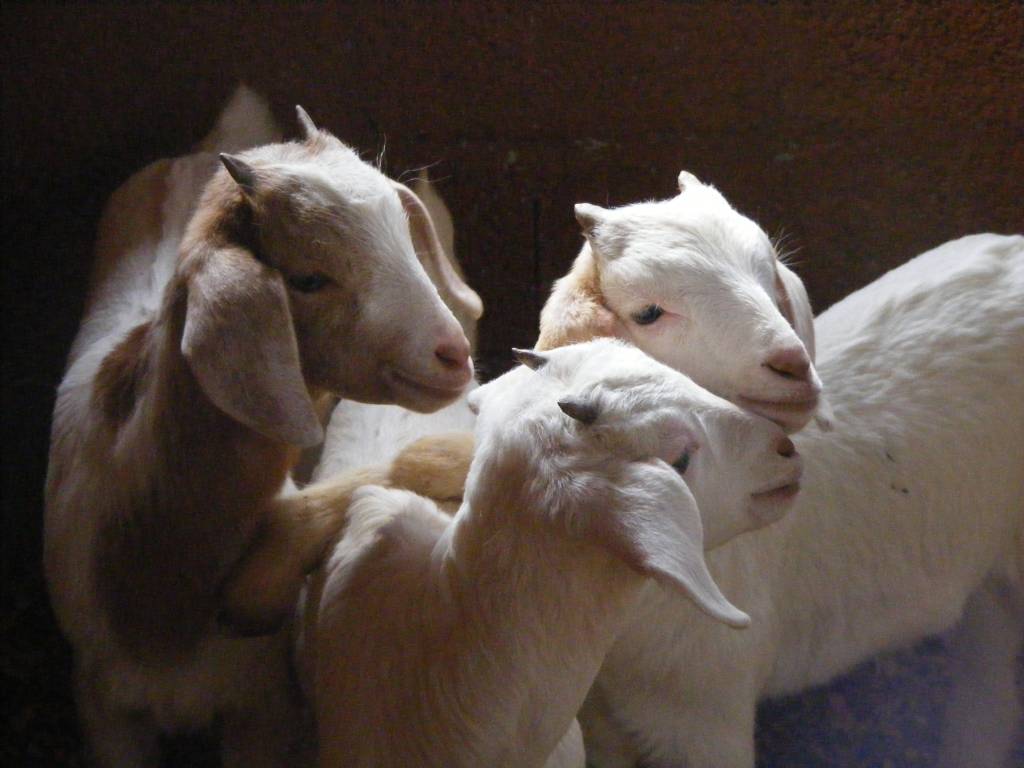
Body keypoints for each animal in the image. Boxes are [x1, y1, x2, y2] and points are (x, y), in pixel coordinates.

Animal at [44, 89, 476, 767]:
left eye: (405, 238)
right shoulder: (104, 705)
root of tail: (226, 133)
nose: (453, 355)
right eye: (307, 278)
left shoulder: (262, 709)